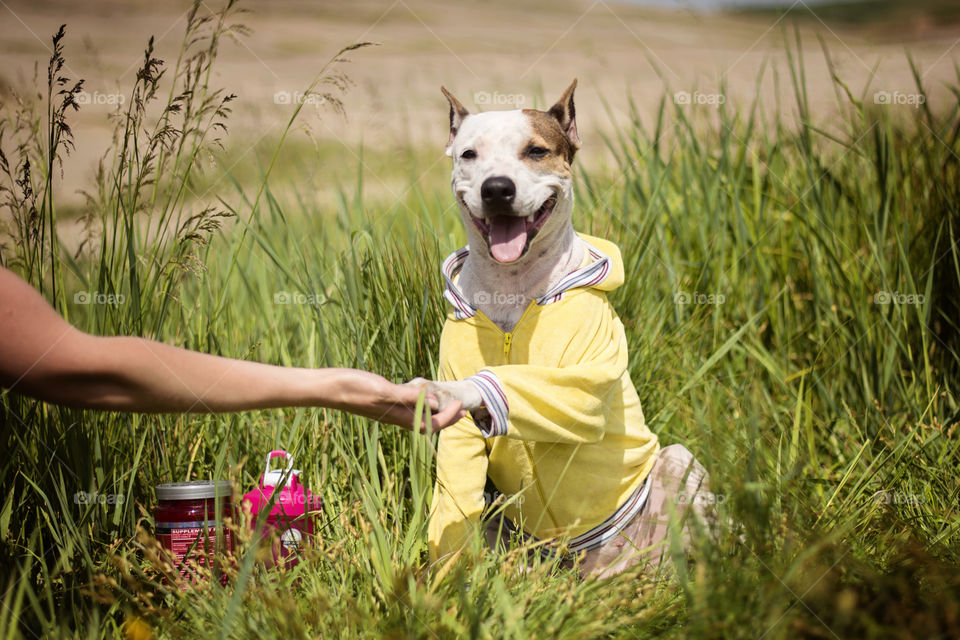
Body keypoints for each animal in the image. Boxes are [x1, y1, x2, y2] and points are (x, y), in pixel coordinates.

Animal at [410, 81, 704, 576]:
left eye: (536, 151)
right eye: (469, 154)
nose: (497, 188)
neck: (513, 289)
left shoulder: (586, 380)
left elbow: (546, 390)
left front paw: (461, 390)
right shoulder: (461, 442)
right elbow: (454, 498)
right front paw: (443, 576)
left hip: (680, 470)